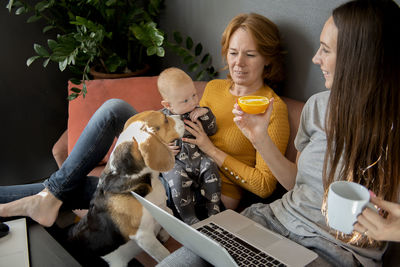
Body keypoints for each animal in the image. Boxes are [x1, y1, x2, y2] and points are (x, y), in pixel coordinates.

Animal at [69, 110, 186, 266]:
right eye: (165, 119)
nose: (183, 116)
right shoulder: (143, 236)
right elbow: (164, 255)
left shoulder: (161, 207)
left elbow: (170, 212)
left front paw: (164, 233)